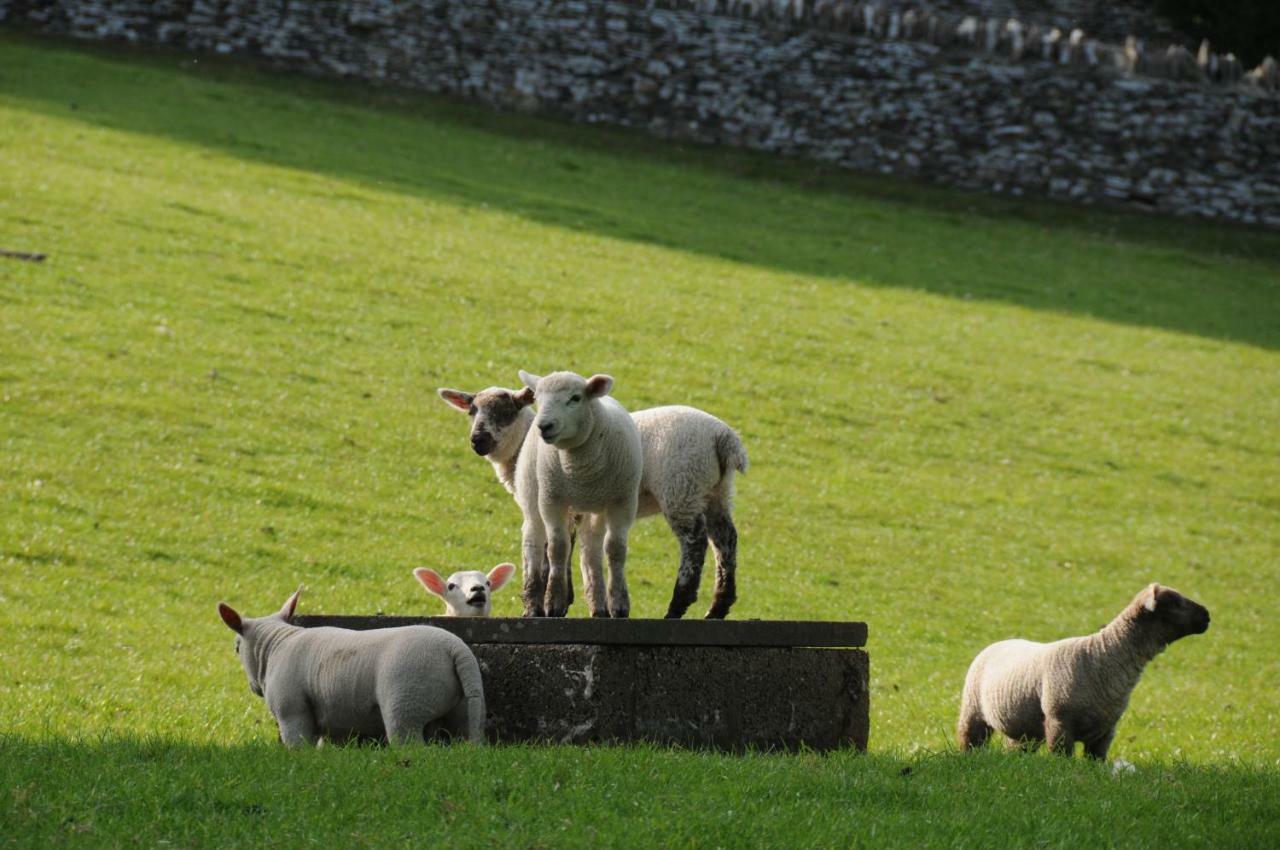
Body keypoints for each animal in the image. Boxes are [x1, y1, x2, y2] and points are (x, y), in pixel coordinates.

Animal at [216, 583, 483, 742]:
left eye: (237, 647)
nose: (253, 688)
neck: (275, 645)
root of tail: (456, 649)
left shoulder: (292, 712)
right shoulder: (334, 718)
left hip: (407, 704)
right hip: (462, 709)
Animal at [437, 384, 747, 617]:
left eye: (505, 413)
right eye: (472, 411)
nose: (478, 440)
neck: (522, 445)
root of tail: (724, 437)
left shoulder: (545, 505)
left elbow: (545, 554)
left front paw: (543, 606)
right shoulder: (579, 511)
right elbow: (582, 553)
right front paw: (581, 602)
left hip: (681, 486)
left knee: (694, 542)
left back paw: (677, 606)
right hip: (716, 491)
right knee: (725, 540)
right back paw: (718, 608)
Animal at [962, 581, 1208, 757]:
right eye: (1175, 602)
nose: (1207, 615)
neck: (1105, 656)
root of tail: (1000, 642)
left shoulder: (1105, 731)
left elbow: (1096, 761)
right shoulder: (1059, 721)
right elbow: (1062, 758)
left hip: (1022, 729)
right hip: (973, 711)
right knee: (970, 740)